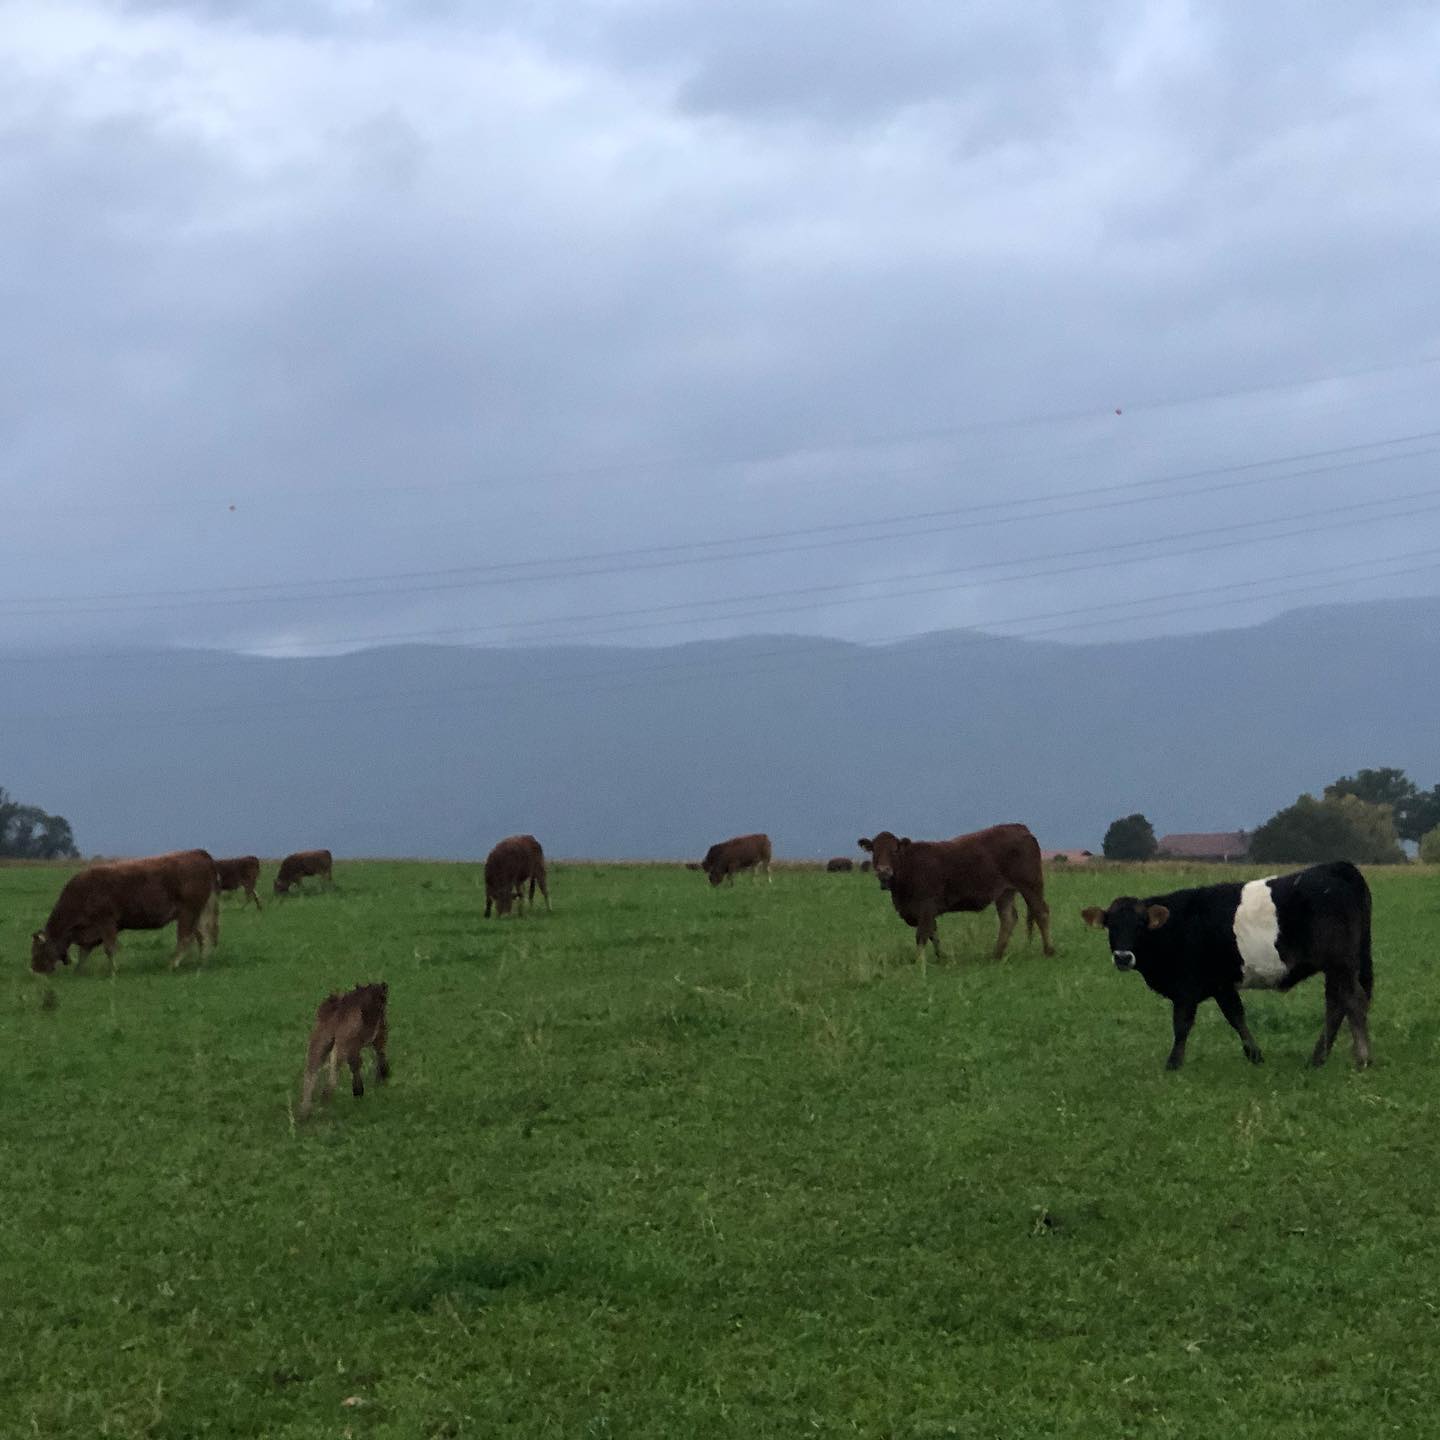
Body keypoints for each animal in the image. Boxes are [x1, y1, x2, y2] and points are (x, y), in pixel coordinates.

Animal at [31, 849, 220, 974]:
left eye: (37, 950)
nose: (34, 969)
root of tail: (199, 853)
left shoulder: (106, 922)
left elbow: (109, 948)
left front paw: (114, 971)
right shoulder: (91, 932)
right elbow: (83, 952)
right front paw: (77, 972)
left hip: (188, 912)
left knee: (185, 938)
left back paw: (172, 965)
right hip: (198, 913)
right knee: (203, 937)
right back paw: (201, 963)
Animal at [299, 981, 390, 1119]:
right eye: (383, 999)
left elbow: (355, 1064)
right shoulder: (376, 1035)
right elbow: (376, 1055)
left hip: (319, 1042)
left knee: (310, 1071)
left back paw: (305, 1112)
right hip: (341, 1044)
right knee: (332, 1075)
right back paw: (324, 1103)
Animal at [858, 825, 1054, 962]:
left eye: (894, 850)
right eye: (874, 850)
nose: (884, 870)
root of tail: (1020, 828)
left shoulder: (926, 907)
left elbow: (922, 935)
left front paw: (919, 962)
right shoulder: (927, 912)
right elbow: (933, 934)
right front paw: (941, 957)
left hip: (1031, 885)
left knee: (1041, 912)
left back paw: (1049, 951)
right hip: (1005, 892)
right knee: (1008, 919)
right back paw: (996, 955)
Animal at [1081, 861, 1373, 1070]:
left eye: (1140, 925)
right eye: (1110, 925)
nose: (1122, 957)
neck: (1177, 925)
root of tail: (1336, 867)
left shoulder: (1186, 988)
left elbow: (1182, 1024)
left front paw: (1173, 1063)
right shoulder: (1221, 984)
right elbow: (1236, 1016)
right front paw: (1255, 1055)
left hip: (1340, 963)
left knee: (1353, 1000)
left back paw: (1362, 1059)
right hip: (1337, 967)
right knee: (1336, 1005)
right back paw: (1318, 1059)